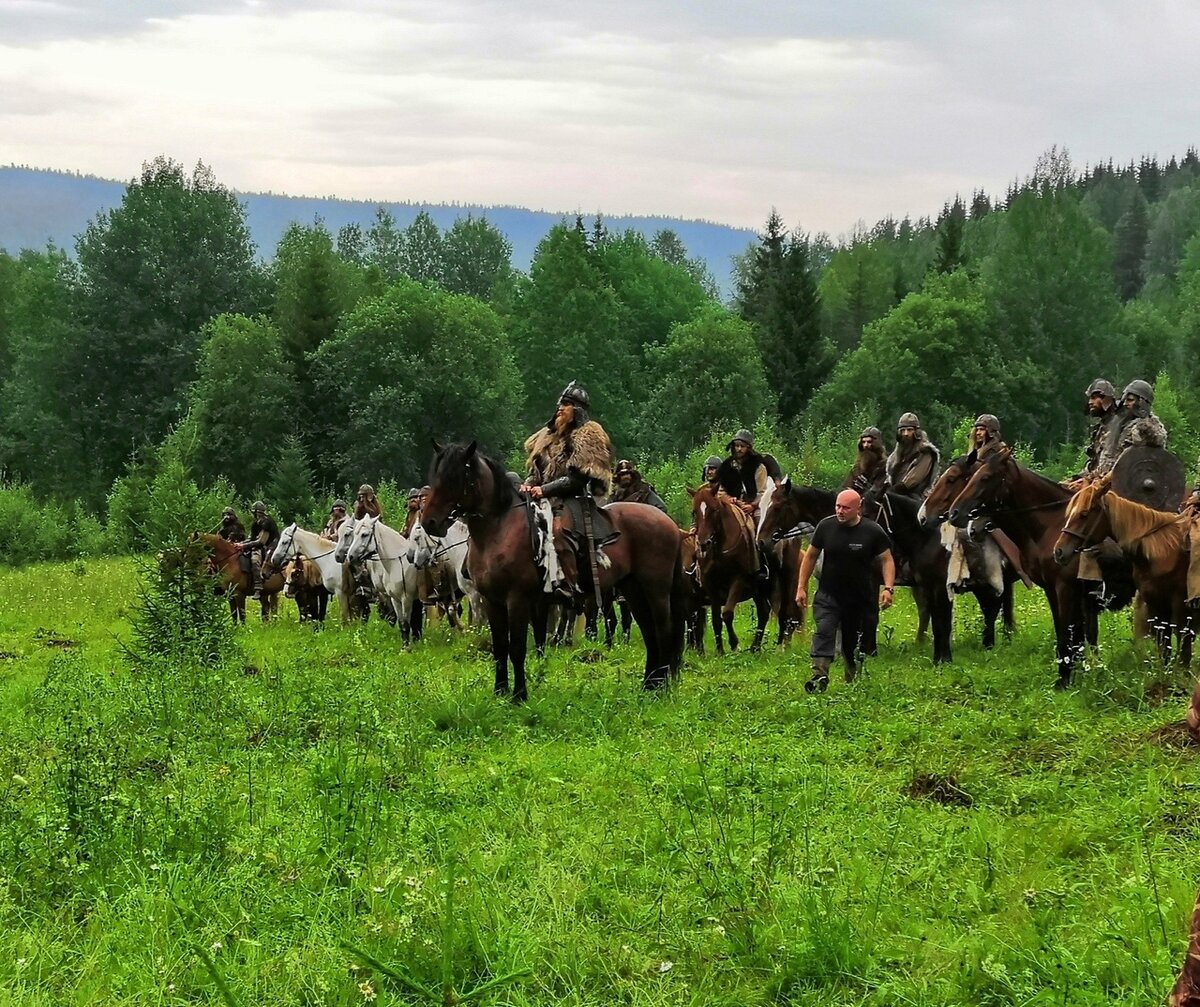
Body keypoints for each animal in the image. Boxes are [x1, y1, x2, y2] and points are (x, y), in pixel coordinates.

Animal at [422, 444, 686, 705]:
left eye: (456, 478)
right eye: (436, 475)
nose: (429, 522)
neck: (499, 530)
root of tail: (670, 524)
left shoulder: (517, 600)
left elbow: (516, 648)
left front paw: (519, 696)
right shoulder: (492, 601)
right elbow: (500, 648)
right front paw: (500, 691)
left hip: (656, 592)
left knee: (663, 631)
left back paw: (660, 689)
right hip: (634, 591)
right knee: (650, 633)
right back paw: (649, 686)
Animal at [945, 446, 1132, 691]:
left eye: (985, 477)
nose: (954, 513)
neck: (1050, 527)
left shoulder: (1065, 589)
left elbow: (1068, 633)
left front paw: (1064, 680)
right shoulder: (1053, 590)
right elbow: (1067, 633)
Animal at [1051, 477, 1190, 667]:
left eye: (1084, 514)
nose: (1058, 551)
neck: (1163, 552)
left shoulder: (1180, 606)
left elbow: (1183, 653)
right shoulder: (1156, 606)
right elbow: (1164, 650)